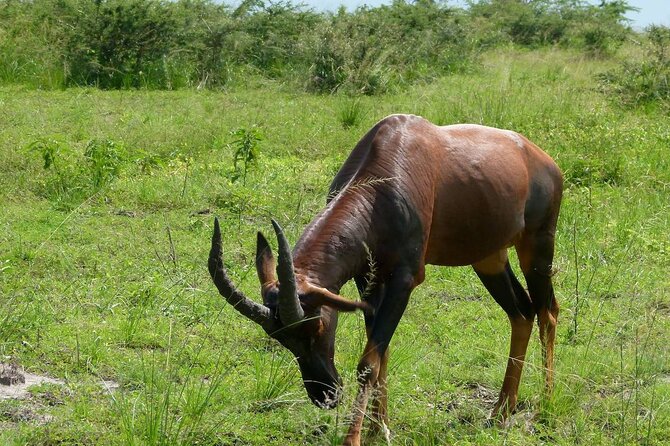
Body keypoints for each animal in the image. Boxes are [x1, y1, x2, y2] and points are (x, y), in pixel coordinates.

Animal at [208, 114, 562, 445]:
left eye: (316, 325)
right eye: (280, 336)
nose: (326, 395)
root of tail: (541, 158)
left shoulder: (404, 280)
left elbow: (368, 363)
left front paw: (354, 437)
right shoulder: (368, 281)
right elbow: (382, 354)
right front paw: (380, 430)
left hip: (537, 245)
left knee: (548, 312)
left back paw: (543, 407)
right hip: (489, 256)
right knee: (521, 312)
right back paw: (501, 411)